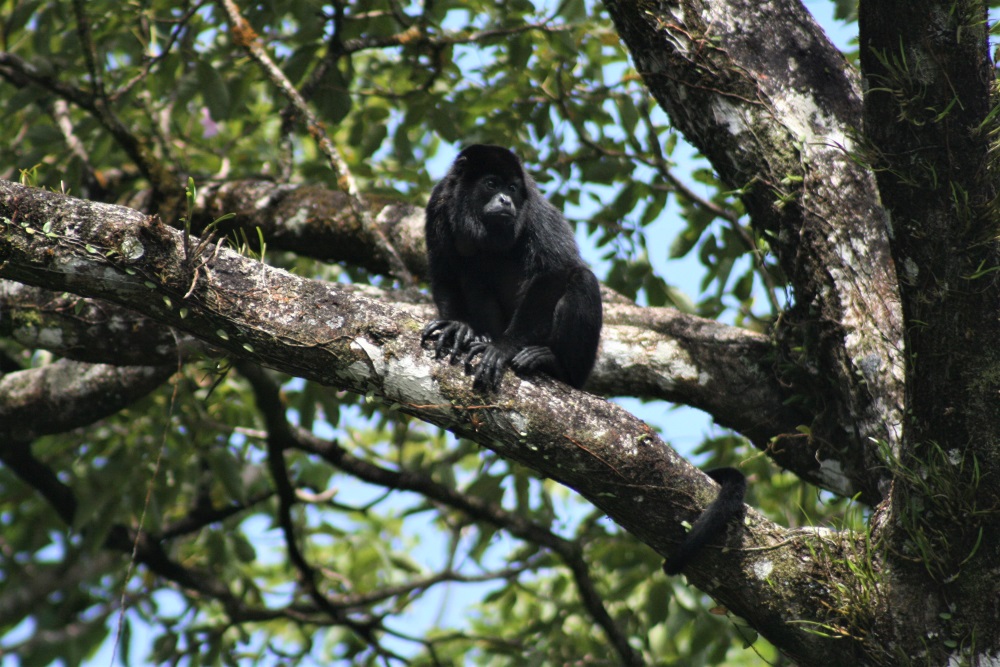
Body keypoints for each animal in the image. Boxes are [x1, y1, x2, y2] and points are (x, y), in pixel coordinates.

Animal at [421, 144, 602, 391]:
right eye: (491, 184)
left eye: (512, 188)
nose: (506, 200)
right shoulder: (438, 202)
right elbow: (444, 271)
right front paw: (457, 326)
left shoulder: (534, 208)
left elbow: (552, 272)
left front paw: (503, 347)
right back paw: (484, 336)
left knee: (582, 279)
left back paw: (556, 366)